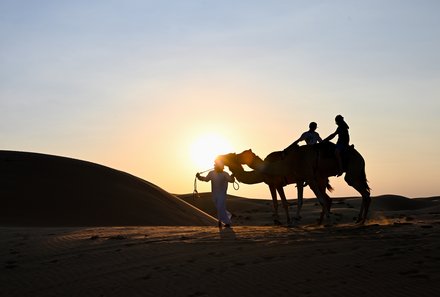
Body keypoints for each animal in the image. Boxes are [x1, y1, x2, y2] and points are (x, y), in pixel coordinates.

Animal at [232, 142, 372, 224]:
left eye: (243, 154)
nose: (235, 155)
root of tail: (361, 157)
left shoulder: (278, 183)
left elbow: (283, 203)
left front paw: (286, 220)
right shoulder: (298, 180)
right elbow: (296, 201)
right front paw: (291, 219)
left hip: (351, 171)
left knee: (363, 193)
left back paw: (361, 220)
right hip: (327, 177)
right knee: (336, 197)